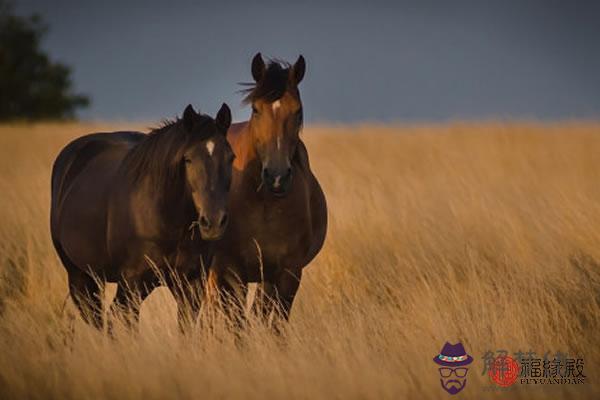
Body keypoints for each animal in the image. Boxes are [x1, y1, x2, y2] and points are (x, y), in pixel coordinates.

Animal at [50, 104, 233, 332]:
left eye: (231, 158)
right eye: (188, 159)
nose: (213, 222)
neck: (167, 220)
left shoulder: (191, 285)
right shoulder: (132, 284)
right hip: (79, 276)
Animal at [210, 53, 328, 328]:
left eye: (297, 111)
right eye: (256, 109)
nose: (277, 177)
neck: (263, 204)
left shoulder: (287, 273)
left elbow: (275, 324)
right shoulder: (232, 272)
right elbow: (236, 324)